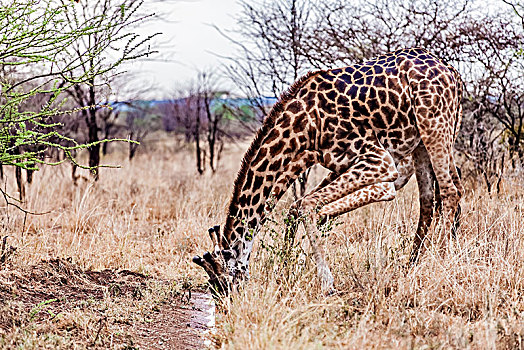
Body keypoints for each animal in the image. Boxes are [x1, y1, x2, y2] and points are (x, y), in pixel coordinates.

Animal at [192, 47, 462, 294]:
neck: (304, 132)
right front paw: (286, 270)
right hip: (423, 141)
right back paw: (412, 265)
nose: (229, 305)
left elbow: (305, 205)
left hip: (434, 125)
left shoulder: (380, 160)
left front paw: (327, 284)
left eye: (223, 283)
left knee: (450, 191)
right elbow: (297, 207)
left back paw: (438, 264)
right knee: (431, 198)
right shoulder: (343, 163)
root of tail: (454, 73)